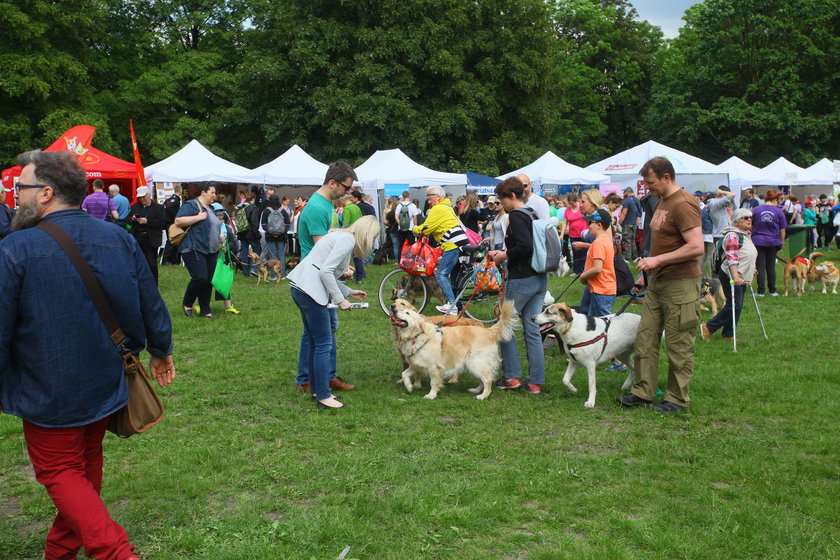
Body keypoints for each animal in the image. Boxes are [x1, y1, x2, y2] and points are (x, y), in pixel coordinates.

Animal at [388, 300, 520, 400]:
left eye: (407, 312)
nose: (393, 309)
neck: (417, 335)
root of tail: (489, 331)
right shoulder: (416, 365)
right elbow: (404, 374)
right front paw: (409, 387)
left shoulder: (434, 367)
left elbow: (433, 382)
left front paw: (431, 395)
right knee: (485, 378)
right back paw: (476, 390)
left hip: (475, 363)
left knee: (487, 379)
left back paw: (483, 396)